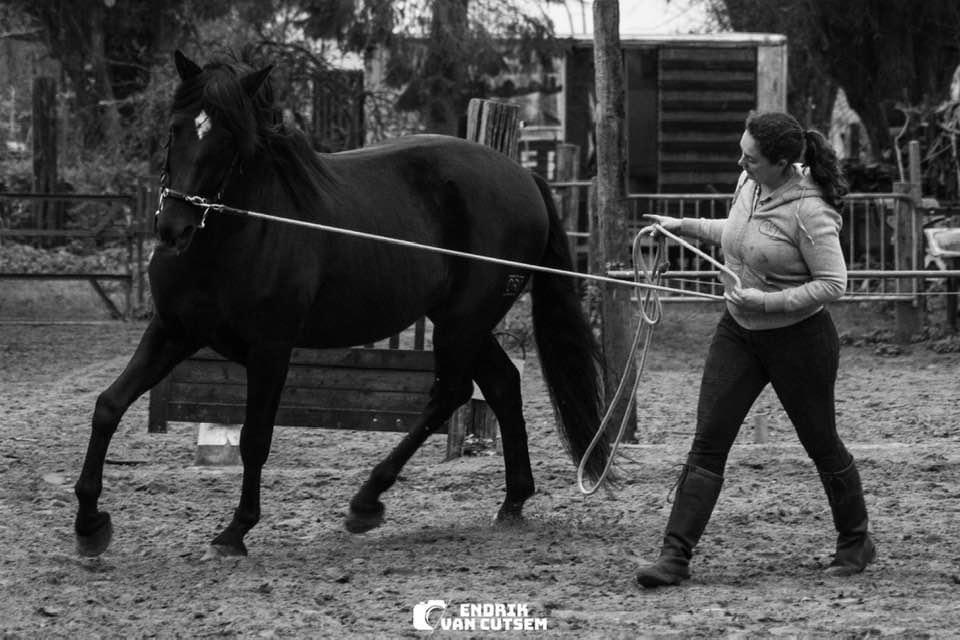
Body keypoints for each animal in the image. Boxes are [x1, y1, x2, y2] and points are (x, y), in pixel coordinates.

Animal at [73, 50, 609, 558]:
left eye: (228, 139)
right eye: (176, 128)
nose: (173, 228)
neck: (235, 234)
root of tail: (525, 177)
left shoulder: (271, 349)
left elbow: (255, 438)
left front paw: (235, 531)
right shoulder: (172, 331)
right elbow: (108, 405)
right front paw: (89, 524)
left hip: (463, 322)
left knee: (451, 394)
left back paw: (366, 501)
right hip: (462, 322)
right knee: (501, 384)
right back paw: (512, 501)